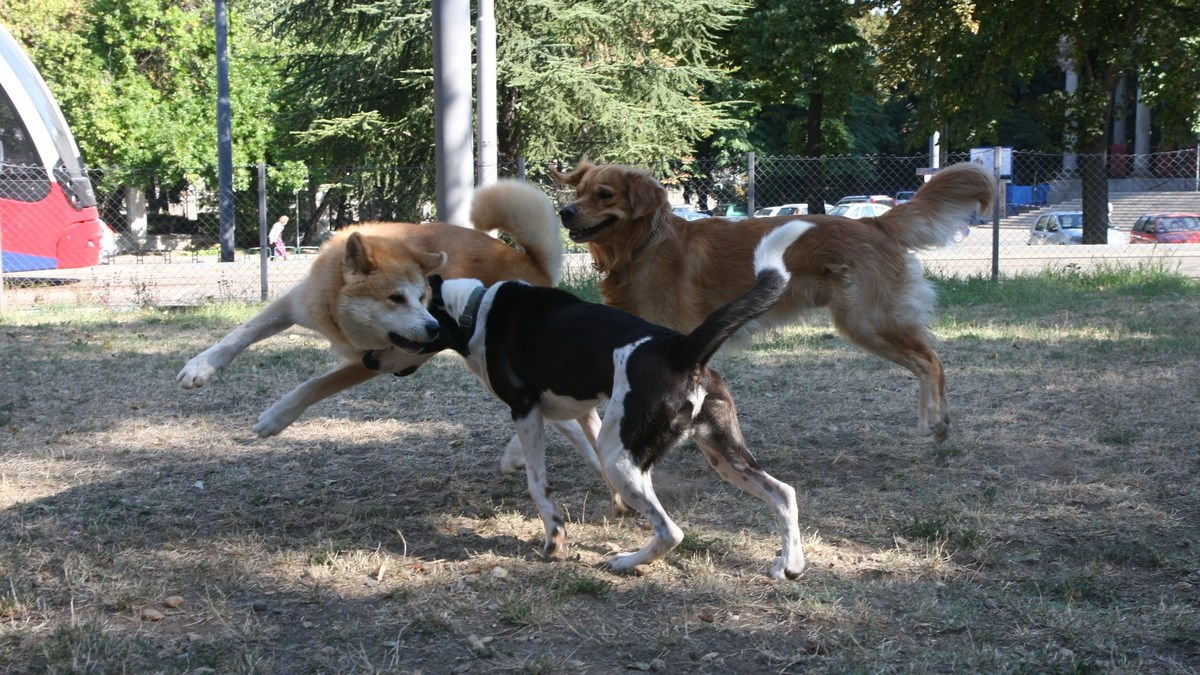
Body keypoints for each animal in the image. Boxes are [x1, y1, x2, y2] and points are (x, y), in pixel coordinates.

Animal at [177, 178, 561, 437]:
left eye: (423, 298)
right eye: (396, 298)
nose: (434, 328)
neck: (335, 319)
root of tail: (531, 264)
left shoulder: (374, 360)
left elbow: (316, 384)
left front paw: (275, 418)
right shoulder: (296, 303)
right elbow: (241, 333)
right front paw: (200, 368)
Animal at [408, 220, 811, 578]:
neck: (474, 309)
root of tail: (679, 348)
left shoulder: (525, 408)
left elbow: (538, 482)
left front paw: (554, 534)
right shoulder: (574, 411)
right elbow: (584, 455)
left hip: (624, 457)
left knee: (671, 532)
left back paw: (626, 562)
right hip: (721, 454)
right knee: (784, 493)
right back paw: (790, 565)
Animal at [552, 158, 993, 441]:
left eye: (604, 195)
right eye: (580, 191)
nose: (565, 212)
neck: (642, 247)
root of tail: (873, 222)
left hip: (869, 321)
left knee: (931, 361)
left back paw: (938, 423)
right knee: (923, 362)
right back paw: (930, 423)